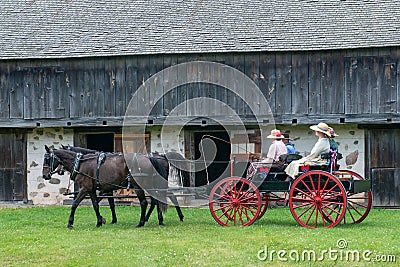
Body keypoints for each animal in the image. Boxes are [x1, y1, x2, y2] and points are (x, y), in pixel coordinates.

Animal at [43, 146, 187, 229]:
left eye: (47, 159)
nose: (45, 175)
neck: (81, 163)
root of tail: (152, 158)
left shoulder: (85, 189)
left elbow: (75, 204)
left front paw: (70, 223)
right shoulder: (93, 189)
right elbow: (96, 205)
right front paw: (100, 221)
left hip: (140, 185)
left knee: (146, 202)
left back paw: (142, 222)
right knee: (156, 200)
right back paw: (158, 219)